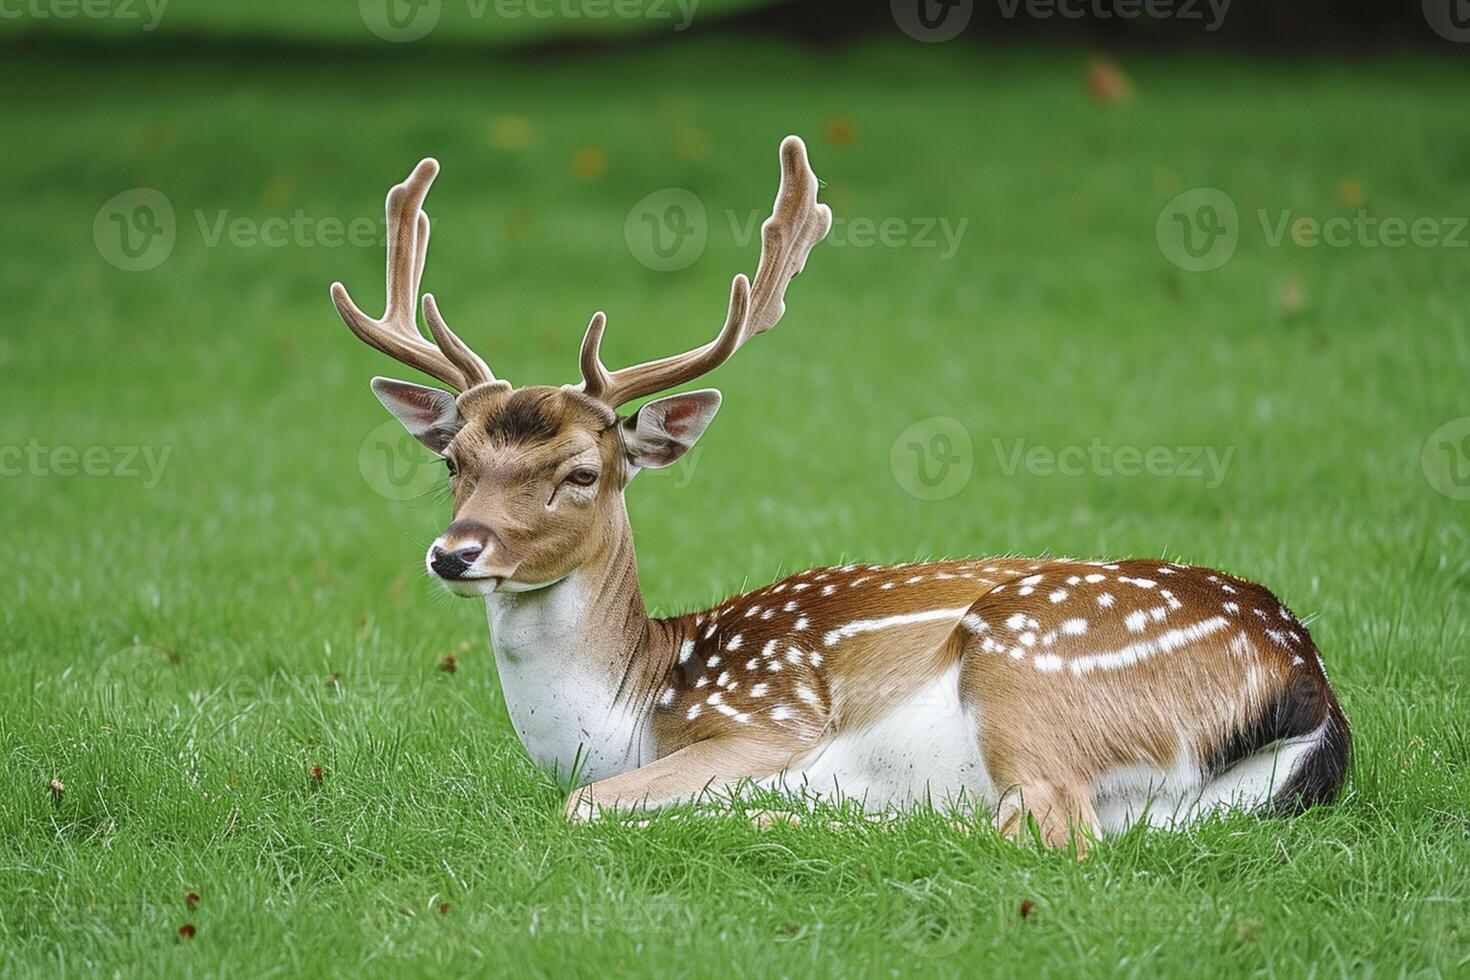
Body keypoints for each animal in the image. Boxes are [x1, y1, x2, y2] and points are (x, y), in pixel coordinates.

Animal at [333, 135, 1352, 852]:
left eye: (582, 472)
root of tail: (1309, 687)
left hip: (1026, 665)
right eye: (454, 461)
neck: (631, 706)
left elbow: (580, 806)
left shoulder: (762, 720)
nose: (456, 552)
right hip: (1177, 806)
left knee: (1046, 830)